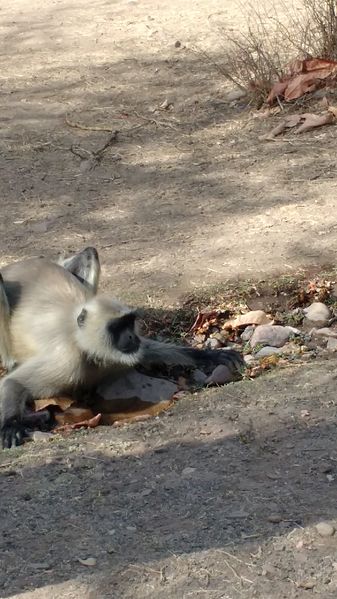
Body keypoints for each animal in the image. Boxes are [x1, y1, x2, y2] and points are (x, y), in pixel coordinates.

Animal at [0, 248, 242, 450]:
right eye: (116, 328)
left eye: (129, 323)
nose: (131, 336)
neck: (86, 346)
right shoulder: (67, 360)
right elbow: (13, 382)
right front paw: (10, 425)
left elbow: (148, 349)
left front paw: (208, 355)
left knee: (91, 252)